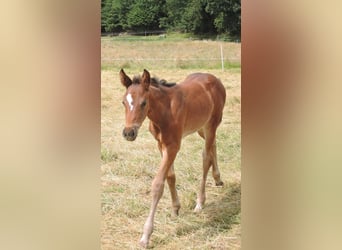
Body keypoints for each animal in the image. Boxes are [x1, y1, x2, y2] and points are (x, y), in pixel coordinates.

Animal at [119, 68, 226, 248]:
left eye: (144, 103)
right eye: (123, 103)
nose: (128, 133)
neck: (164, 111)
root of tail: (214, 78)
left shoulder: (173, 146)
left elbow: (157, 184)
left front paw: (145, 236)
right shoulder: (161, 144)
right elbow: (170, 176)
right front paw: (175, 209)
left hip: (212, 123)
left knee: (206, 157)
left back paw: (200, 202)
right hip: (201, 127)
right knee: (213, 146)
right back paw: (217, 178)